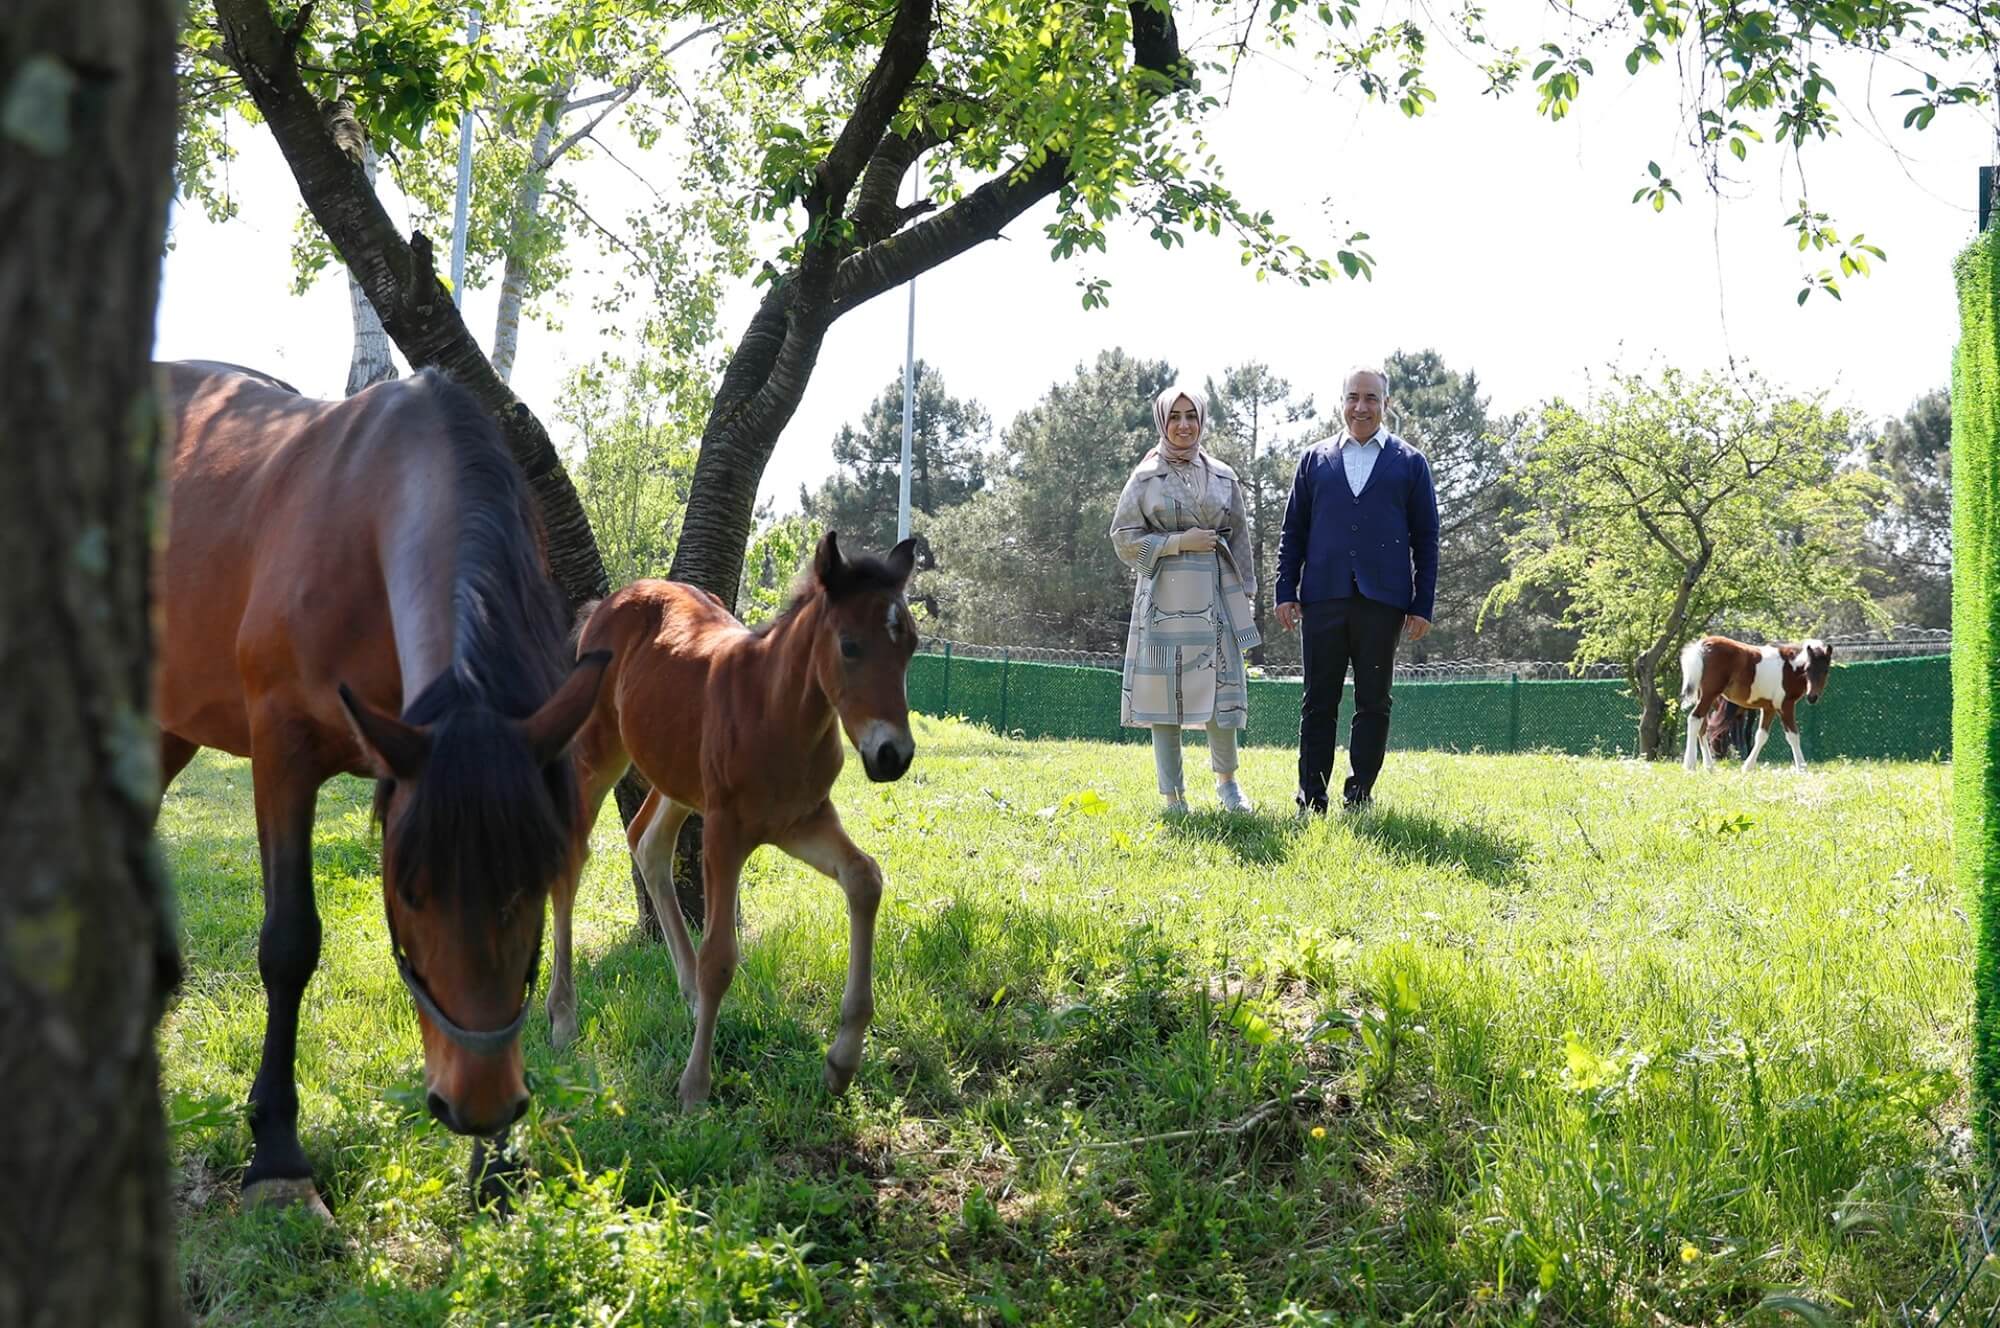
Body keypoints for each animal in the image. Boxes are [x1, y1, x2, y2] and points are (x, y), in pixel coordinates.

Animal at [552, 536, 916, 1104]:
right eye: (850, 646)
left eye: (913, 646)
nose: (892, 755)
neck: (777, 712)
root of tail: (608, 603)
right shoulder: (725, 831)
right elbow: (719, 956)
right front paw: (694, 1087)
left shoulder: (802, 821)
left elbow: (865, 878)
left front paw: (842, 1061)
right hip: (598, 753)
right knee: (574, 856)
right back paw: (564, 1020)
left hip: (679, 777)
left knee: (648, 841)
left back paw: (689, 998)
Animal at [1680, 636, 1832, 772]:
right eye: (1808, 668)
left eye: (1826, 670)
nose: (1812, 697)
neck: (1790, 666)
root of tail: (1704, 644)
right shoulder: (1785, 706)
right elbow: (1793, 736)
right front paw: (1802, 769)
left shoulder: (1769, 708)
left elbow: (1761, 736)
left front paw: (1747, 767)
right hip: (1709, 694)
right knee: (1694, 719)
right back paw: (1690, 765)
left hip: (1705, 696)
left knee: (1702, 726)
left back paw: (1709, 767)